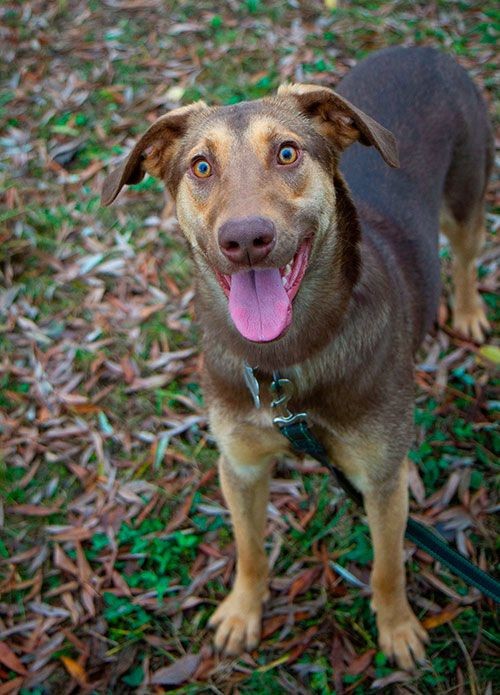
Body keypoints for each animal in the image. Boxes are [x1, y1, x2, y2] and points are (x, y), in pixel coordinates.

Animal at [101, 47, 492, 668]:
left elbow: (388, 566)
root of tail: (424, 50)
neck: (289, 356)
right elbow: (249, 549)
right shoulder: (239, 464)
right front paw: (243, 612)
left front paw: (398, 628)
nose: (245, 239)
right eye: (201, 167)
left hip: (467, 192)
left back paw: (471, 308)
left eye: (287, 152)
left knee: (465, 252)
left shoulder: (381, 478)